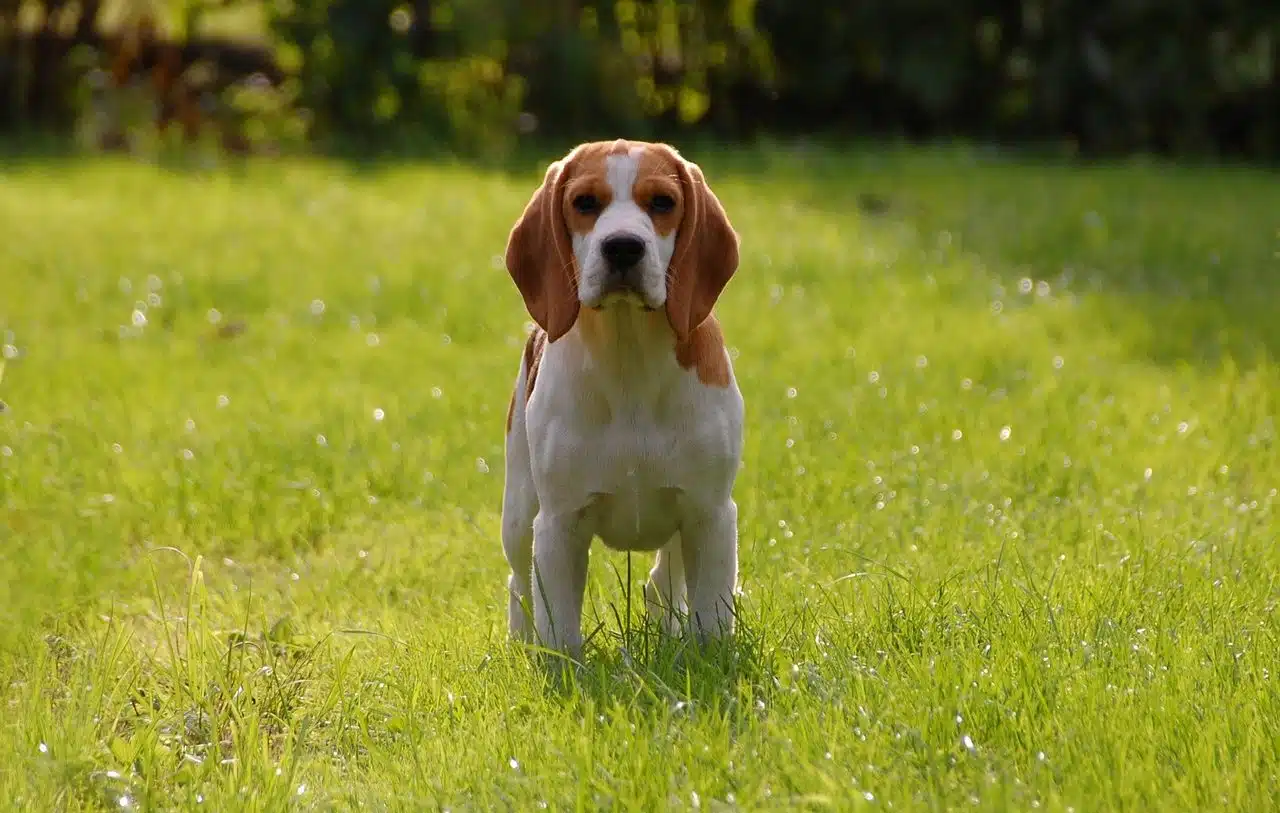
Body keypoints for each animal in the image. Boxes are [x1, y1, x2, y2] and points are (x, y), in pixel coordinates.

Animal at [496, 140, 742, 660]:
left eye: (663, 203)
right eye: (585, 202)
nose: (624, 246)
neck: (629, 356)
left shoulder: (710, 513)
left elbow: (710, 614)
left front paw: (707, 659)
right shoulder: (559, 523)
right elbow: (558, 626)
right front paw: (562, 666)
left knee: (663, 580)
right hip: (520, 514)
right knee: (519, 585)